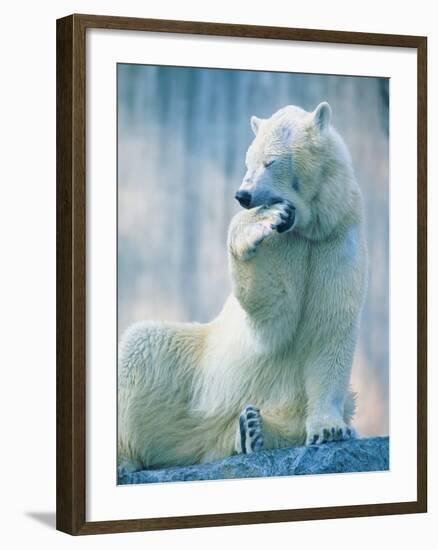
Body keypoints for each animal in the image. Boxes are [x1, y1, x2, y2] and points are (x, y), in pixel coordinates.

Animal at [118, 104, 368, 474]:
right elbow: (273, 312)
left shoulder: (336, 240)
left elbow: (330, 329)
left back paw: (252, 429)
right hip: (194, 367)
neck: (309, 227)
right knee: (141, 345)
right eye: (247, 161)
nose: (243, 195)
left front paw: (330, 429)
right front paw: (258, 223)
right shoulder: (287, 244)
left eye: (270, 161)